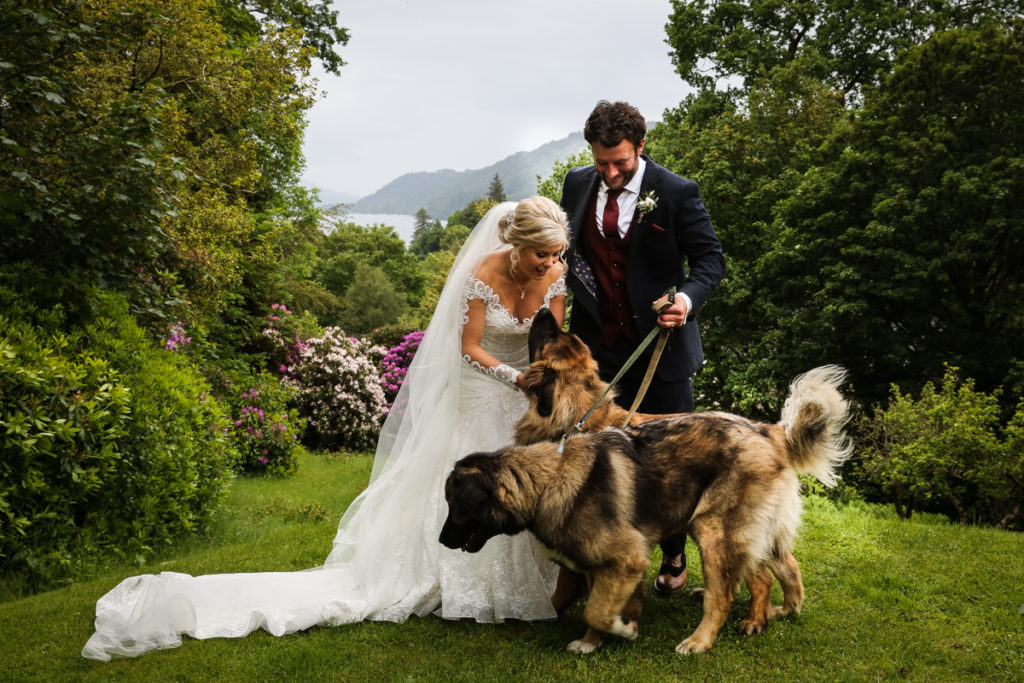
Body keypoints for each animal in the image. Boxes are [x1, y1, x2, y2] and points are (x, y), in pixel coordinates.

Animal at [438, 313, 847, 655]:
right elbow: (573, 585)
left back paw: (724, 630)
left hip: (715, 528)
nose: (544, 311)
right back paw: (774, 613)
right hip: (754, 528)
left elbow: (582, 590)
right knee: (784, 568)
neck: (577, 415)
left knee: (743, 584)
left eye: (551, 336)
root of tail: (769, 431)